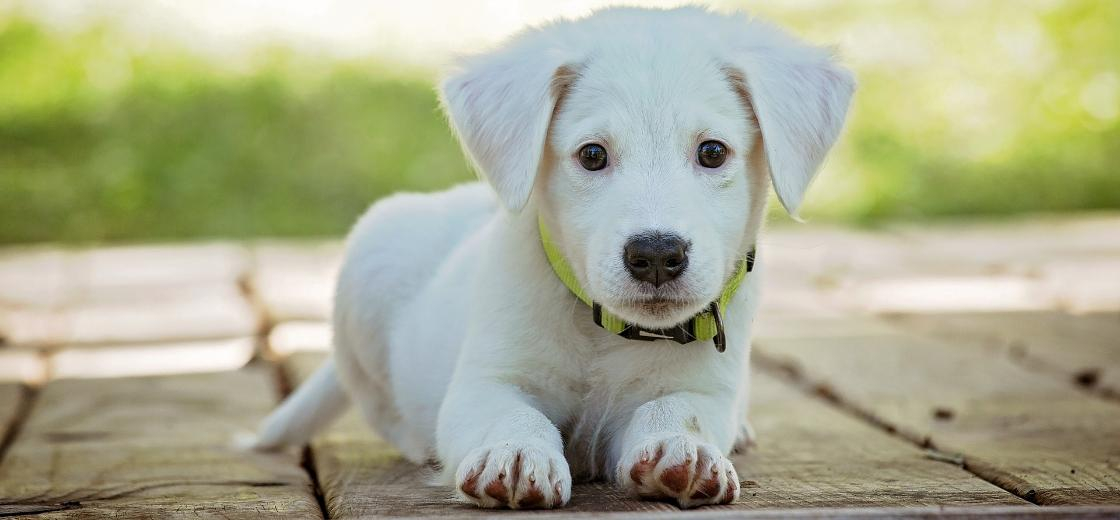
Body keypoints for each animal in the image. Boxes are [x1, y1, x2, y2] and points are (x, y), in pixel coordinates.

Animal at [257, 6, 851, 508]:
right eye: (592, 155)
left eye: (712, 152)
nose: (657, 255)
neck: (605, 332)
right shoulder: (485, 382)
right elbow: (513, 415)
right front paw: (516, 453)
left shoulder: (705, 388)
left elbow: (677, 409)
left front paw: (683, 450)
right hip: (369, 266)